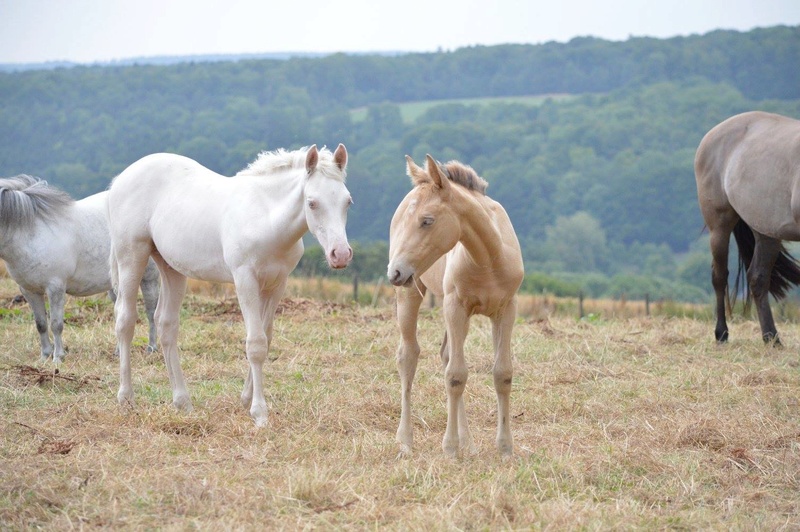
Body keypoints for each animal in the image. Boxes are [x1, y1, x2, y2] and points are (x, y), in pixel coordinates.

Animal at [0, 177, 159, 364]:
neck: (33, 234)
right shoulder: (29, 291)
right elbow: (41, 324)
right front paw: (45, 356)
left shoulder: (55, 288)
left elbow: (56, 324)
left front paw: (58, 357)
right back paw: (119, 352)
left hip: (148, 278)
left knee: (151, 311)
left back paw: (152, 348)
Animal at [108, 143, 352, 426]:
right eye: (312, 203)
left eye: (348, 201)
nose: (340, 255)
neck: (266, 218)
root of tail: (121, 179)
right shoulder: (244, 279)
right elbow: (255, 343)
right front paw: (259, 413)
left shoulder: (277, 284)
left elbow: (266, 338)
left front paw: (246, 399)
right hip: (131, 255)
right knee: (125, 320)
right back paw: (126, 398)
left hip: (171, 267)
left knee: (166, 323)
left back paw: (182, 402)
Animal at [388, 155, 524, 458]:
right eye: (402, 222)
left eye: (427, 221)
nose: (394, 272)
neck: (488, 259)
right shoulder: (455, 306)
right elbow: (455, 376)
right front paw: (449, 449)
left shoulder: (506, 310)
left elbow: (502, 373)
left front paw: (505, 449)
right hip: (411, 293)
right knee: (408, 356)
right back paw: (405, 442)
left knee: (446, 354)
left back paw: (469, 444)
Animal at [692, 112, 800, 344]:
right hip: (719, 226)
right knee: (720, 276)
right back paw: (722, 334)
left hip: (766, 232)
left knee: (757, 278)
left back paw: (771, 338)